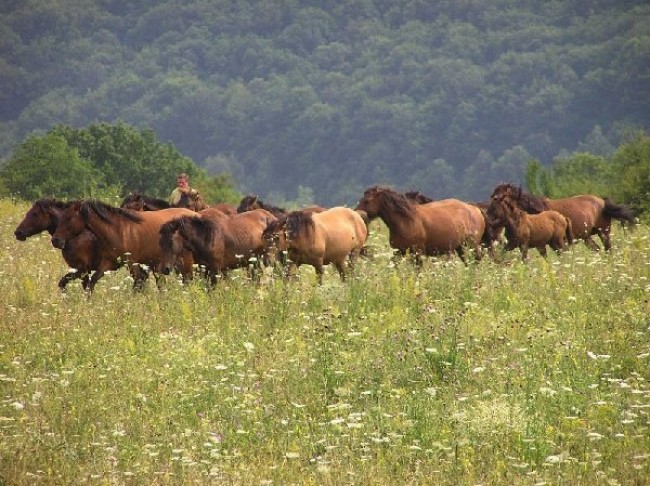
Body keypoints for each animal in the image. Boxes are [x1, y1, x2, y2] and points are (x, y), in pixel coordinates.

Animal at [51, 200, 195, 290]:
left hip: (185, 262)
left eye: (69, 218)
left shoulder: (132, 262)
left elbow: (138, 284)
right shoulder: (109, 263)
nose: (55, 240)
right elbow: (93, 281)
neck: (117, 229)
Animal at [354, 185, 486, 264]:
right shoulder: (400, 252)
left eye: (367, 200)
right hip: (461, 248)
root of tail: (475, 210)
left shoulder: (418, 253)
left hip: (472, 246)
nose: (357, 214)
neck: (405, 221)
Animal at [492, 183, 632, 251]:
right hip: (587, 237)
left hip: (604, 232)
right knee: (597, 249)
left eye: (500, 196)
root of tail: (602, 202)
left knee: (608, 249)